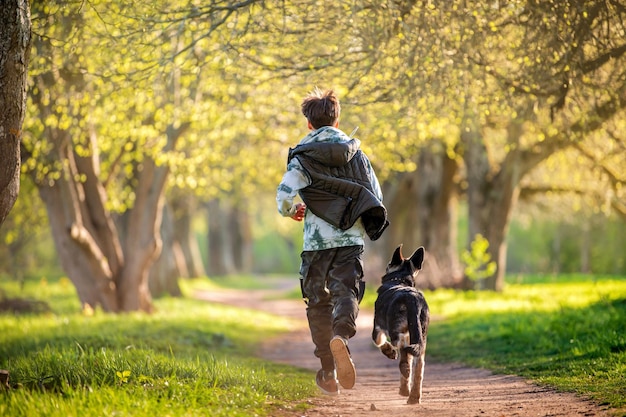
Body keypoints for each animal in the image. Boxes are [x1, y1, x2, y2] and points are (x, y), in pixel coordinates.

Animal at [370, 244, 428, 404]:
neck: (399, 279)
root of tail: (412, 298)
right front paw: (404, 389)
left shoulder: (377, 327)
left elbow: (379, 341)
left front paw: (389, 352)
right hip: (421, 336)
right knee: (418, 364)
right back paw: (413, 396)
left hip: (395, 330)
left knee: (402, 348)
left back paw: (404, 368)